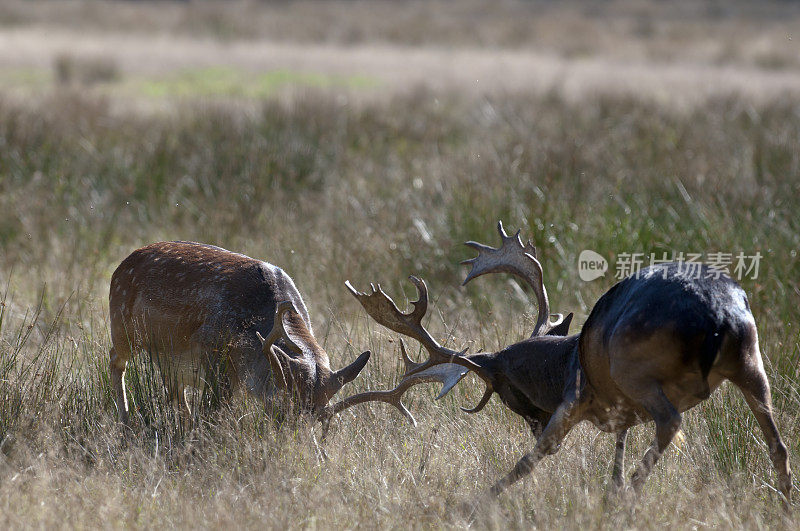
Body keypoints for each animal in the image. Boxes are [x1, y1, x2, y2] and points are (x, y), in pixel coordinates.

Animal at [109, 243, 372, 426]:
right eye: (281, 406)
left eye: (319, 415)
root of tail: (121, 265)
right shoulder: (212, 354)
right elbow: (214, 410)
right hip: (122, 326)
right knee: (115, 359)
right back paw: (127, 424)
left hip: (165, 357)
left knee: (174, 391)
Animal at [326, 222, 792, 510]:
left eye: (505, 391)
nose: (530, 420)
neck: (562, 360)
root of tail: (720, 313)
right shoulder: (617, 411)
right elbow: (616, 453)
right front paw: (610, 491)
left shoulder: (576, 398)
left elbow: (535, 457)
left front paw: (474, 503)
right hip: (752, 362)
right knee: (777, 442)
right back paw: (785, 504)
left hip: (636, 372)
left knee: (672, 422)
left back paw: (632, 496)